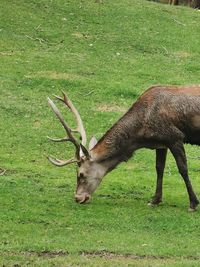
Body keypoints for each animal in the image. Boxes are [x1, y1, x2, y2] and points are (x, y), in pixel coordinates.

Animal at [47, 87, 200, 213]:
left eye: (81, 174)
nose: (78, 198)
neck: (141, 135)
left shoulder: (175, 137)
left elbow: (183, 169)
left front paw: (193, 203)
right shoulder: (161, 143)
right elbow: (159, 168)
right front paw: (155, 200)